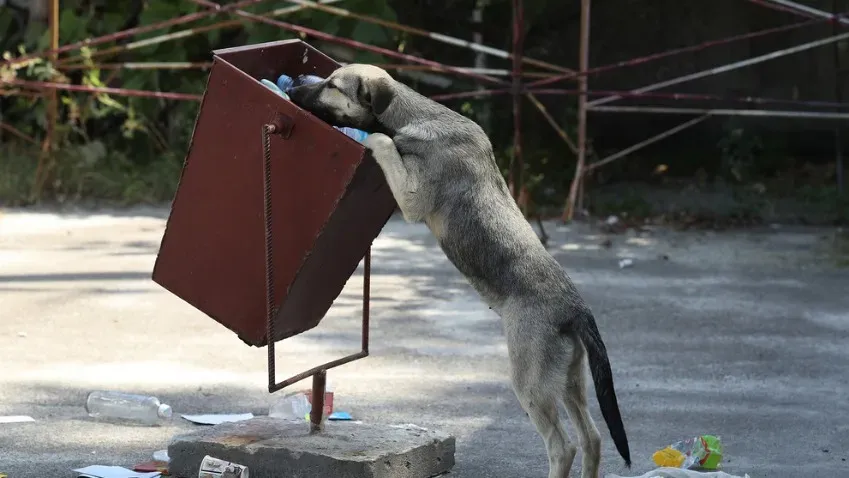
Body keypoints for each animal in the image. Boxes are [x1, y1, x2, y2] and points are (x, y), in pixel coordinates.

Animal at [292, 64, 628, 478]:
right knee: (592, 438)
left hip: (532, 382)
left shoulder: (412, 197)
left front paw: (375, 137)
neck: (415, 115)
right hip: (569, 379)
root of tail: (577, 309)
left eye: (333, 86)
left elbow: (384, 142)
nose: (294, 85)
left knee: (563, 446)